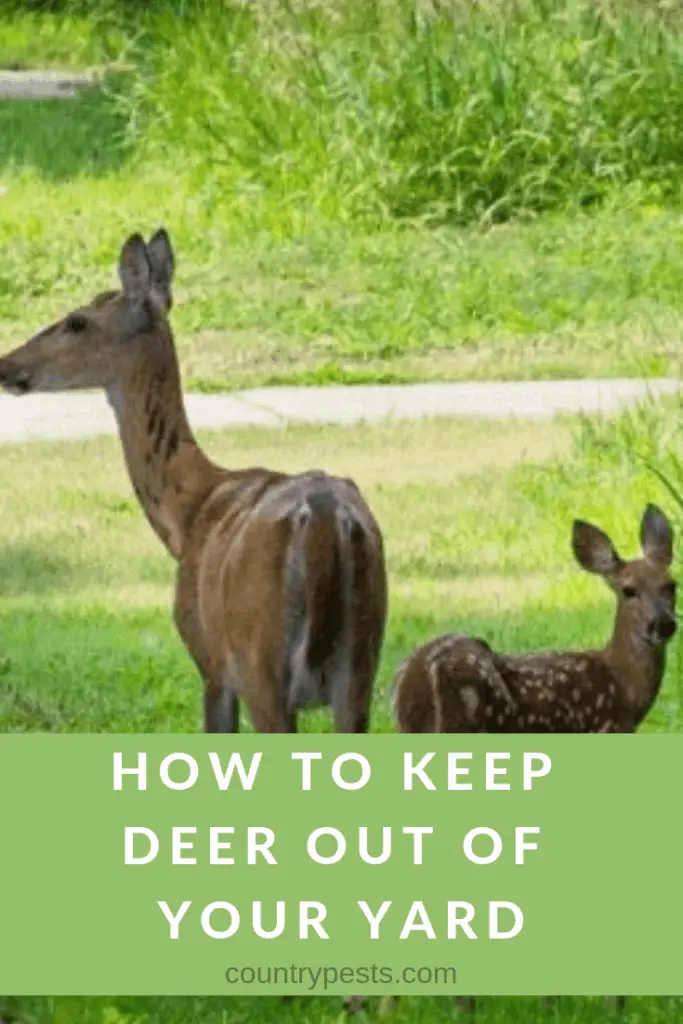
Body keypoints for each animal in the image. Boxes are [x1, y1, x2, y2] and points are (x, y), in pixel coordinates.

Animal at [0, 229, 387, 735]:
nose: (6, 365)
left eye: (76, 321)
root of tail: (325, 517)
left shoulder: (212, 663)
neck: (189, 513)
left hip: (261, 658)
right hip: (362, 662)